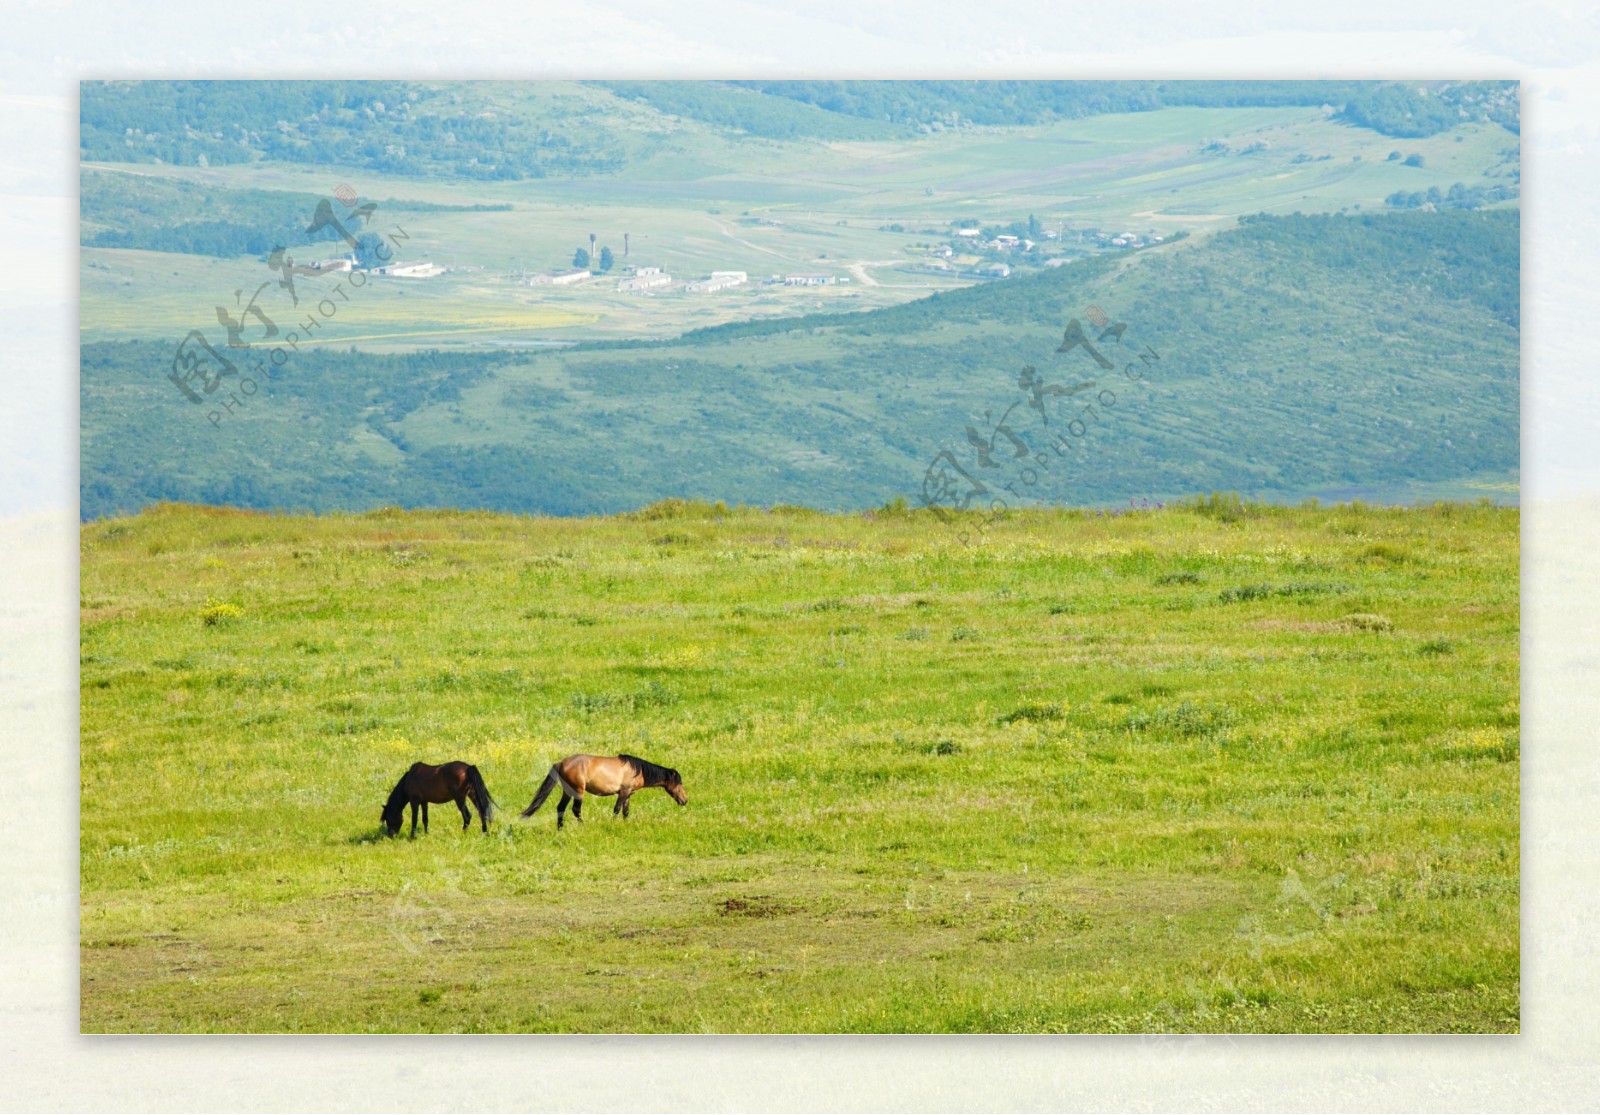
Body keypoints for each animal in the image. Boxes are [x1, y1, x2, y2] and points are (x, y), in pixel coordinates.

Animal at [518, 758, 681, 825]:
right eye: (679, 784)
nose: (684, 801)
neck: (637, 770)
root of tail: (561, 763)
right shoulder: (623, 792)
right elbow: (616, 809)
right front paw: (613, 824)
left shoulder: (628, 794)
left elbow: (625, 811)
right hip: (578, 791)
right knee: (576, 810)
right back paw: (582, 826)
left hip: (568, 791)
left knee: (560, 808)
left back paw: (560, 828)